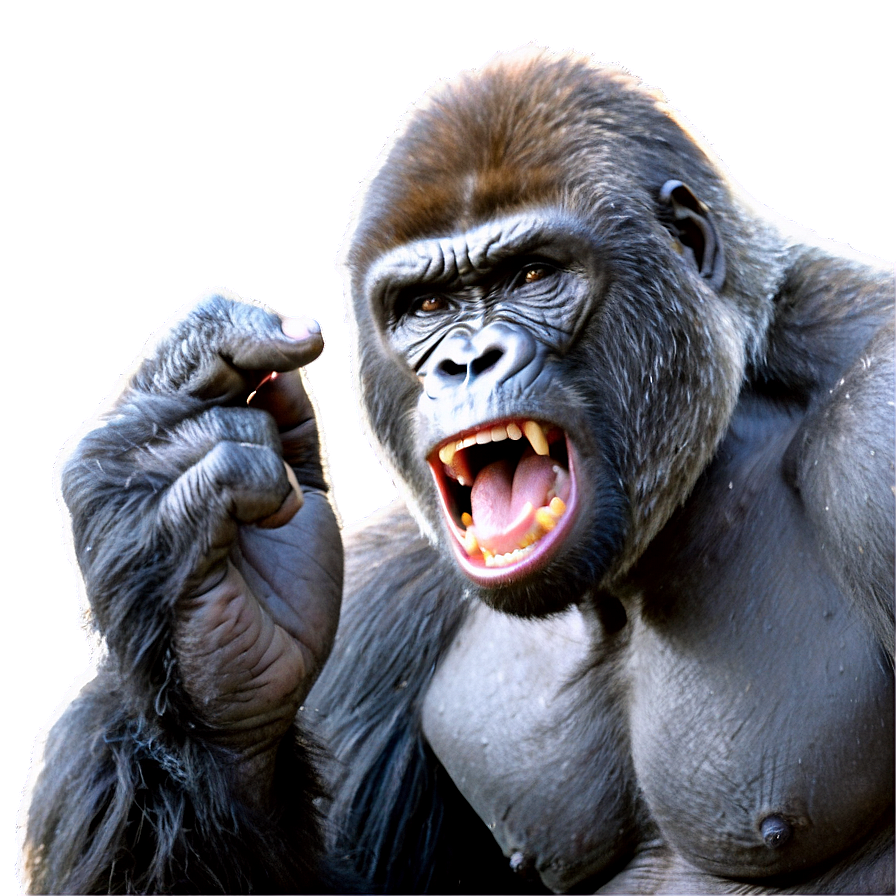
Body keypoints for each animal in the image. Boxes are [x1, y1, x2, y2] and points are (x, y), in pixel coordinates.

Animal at [21, 44, 894, 894]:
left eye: (534, 275)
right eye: (427, 307)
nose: (465, 362)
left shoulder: (876, 441)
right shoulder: (385, 596)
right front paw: (190, 587)